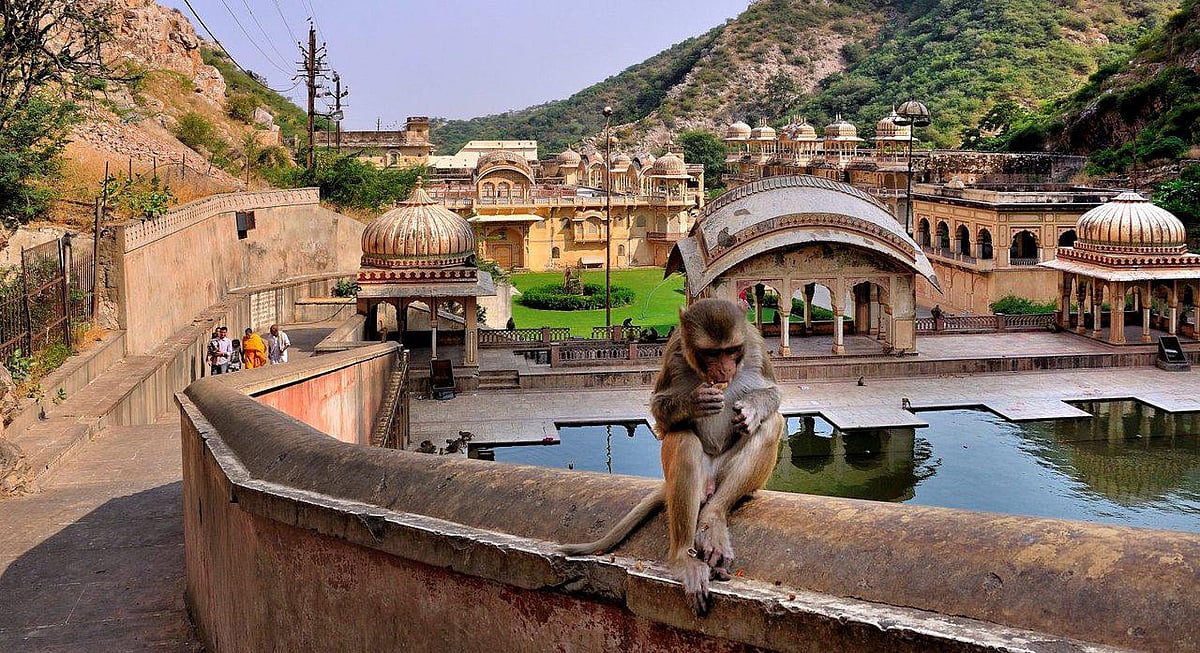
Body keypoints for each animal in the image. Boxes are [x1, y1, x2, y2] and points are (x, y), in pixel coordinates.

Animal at [558, 298, 783, 616]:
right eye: (712, 353)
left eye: (731, 351)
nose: (724, 369)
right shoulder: (675, 351)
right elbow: (660, 409)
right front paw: (694, 402)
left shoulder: (755, 345)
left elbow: (772, 393)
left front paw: (750, 408)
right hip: (694, 472)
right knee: (683, 440)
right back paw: (683, 558)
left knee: (771, 424)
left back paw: (713, 518)